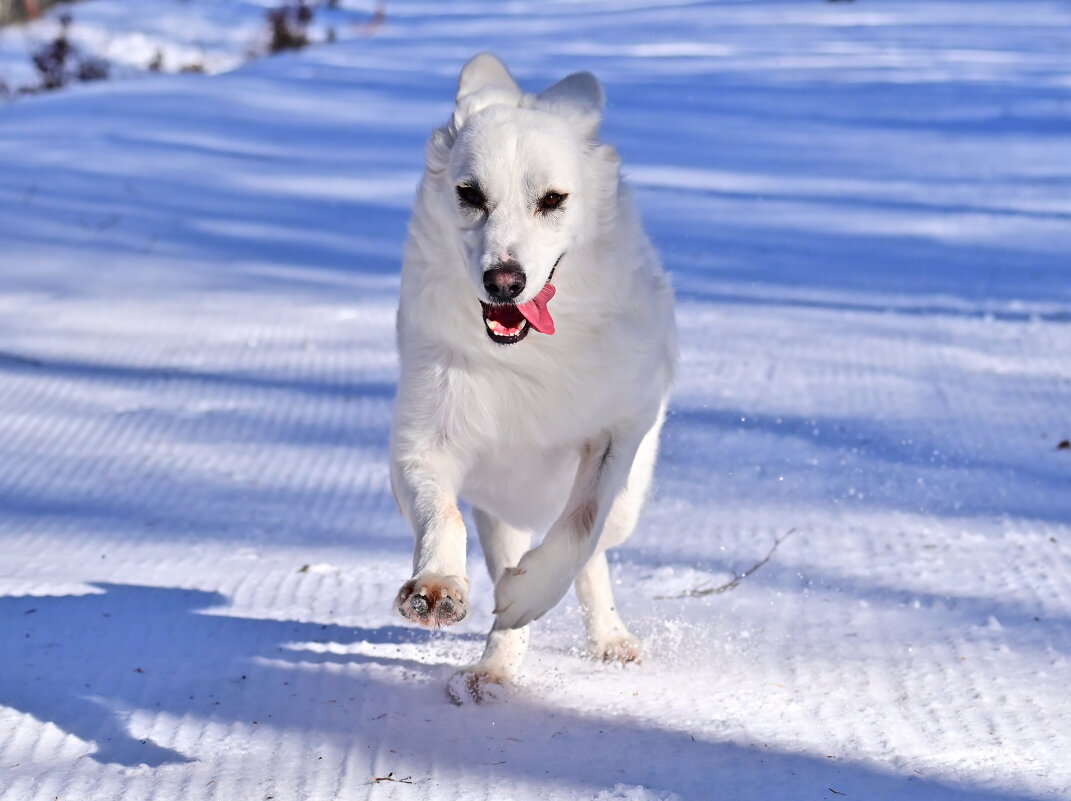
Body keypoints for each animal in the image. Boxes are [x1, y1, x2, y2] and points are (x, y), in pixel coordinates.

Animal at [391, 53, 676, 702]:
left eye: (552, 199)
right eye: (469, 194)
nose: (504, 281)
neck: (529, 355)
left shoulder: (619, 427)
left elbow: (580, 525)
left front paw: (529, 595)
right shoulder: (423, 442)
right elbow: (439, 512)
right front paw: (437, 586)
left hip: (629, 503)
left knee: (593, 549)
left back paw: (607, 638)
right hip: (500, 507)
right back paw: (493, 670)